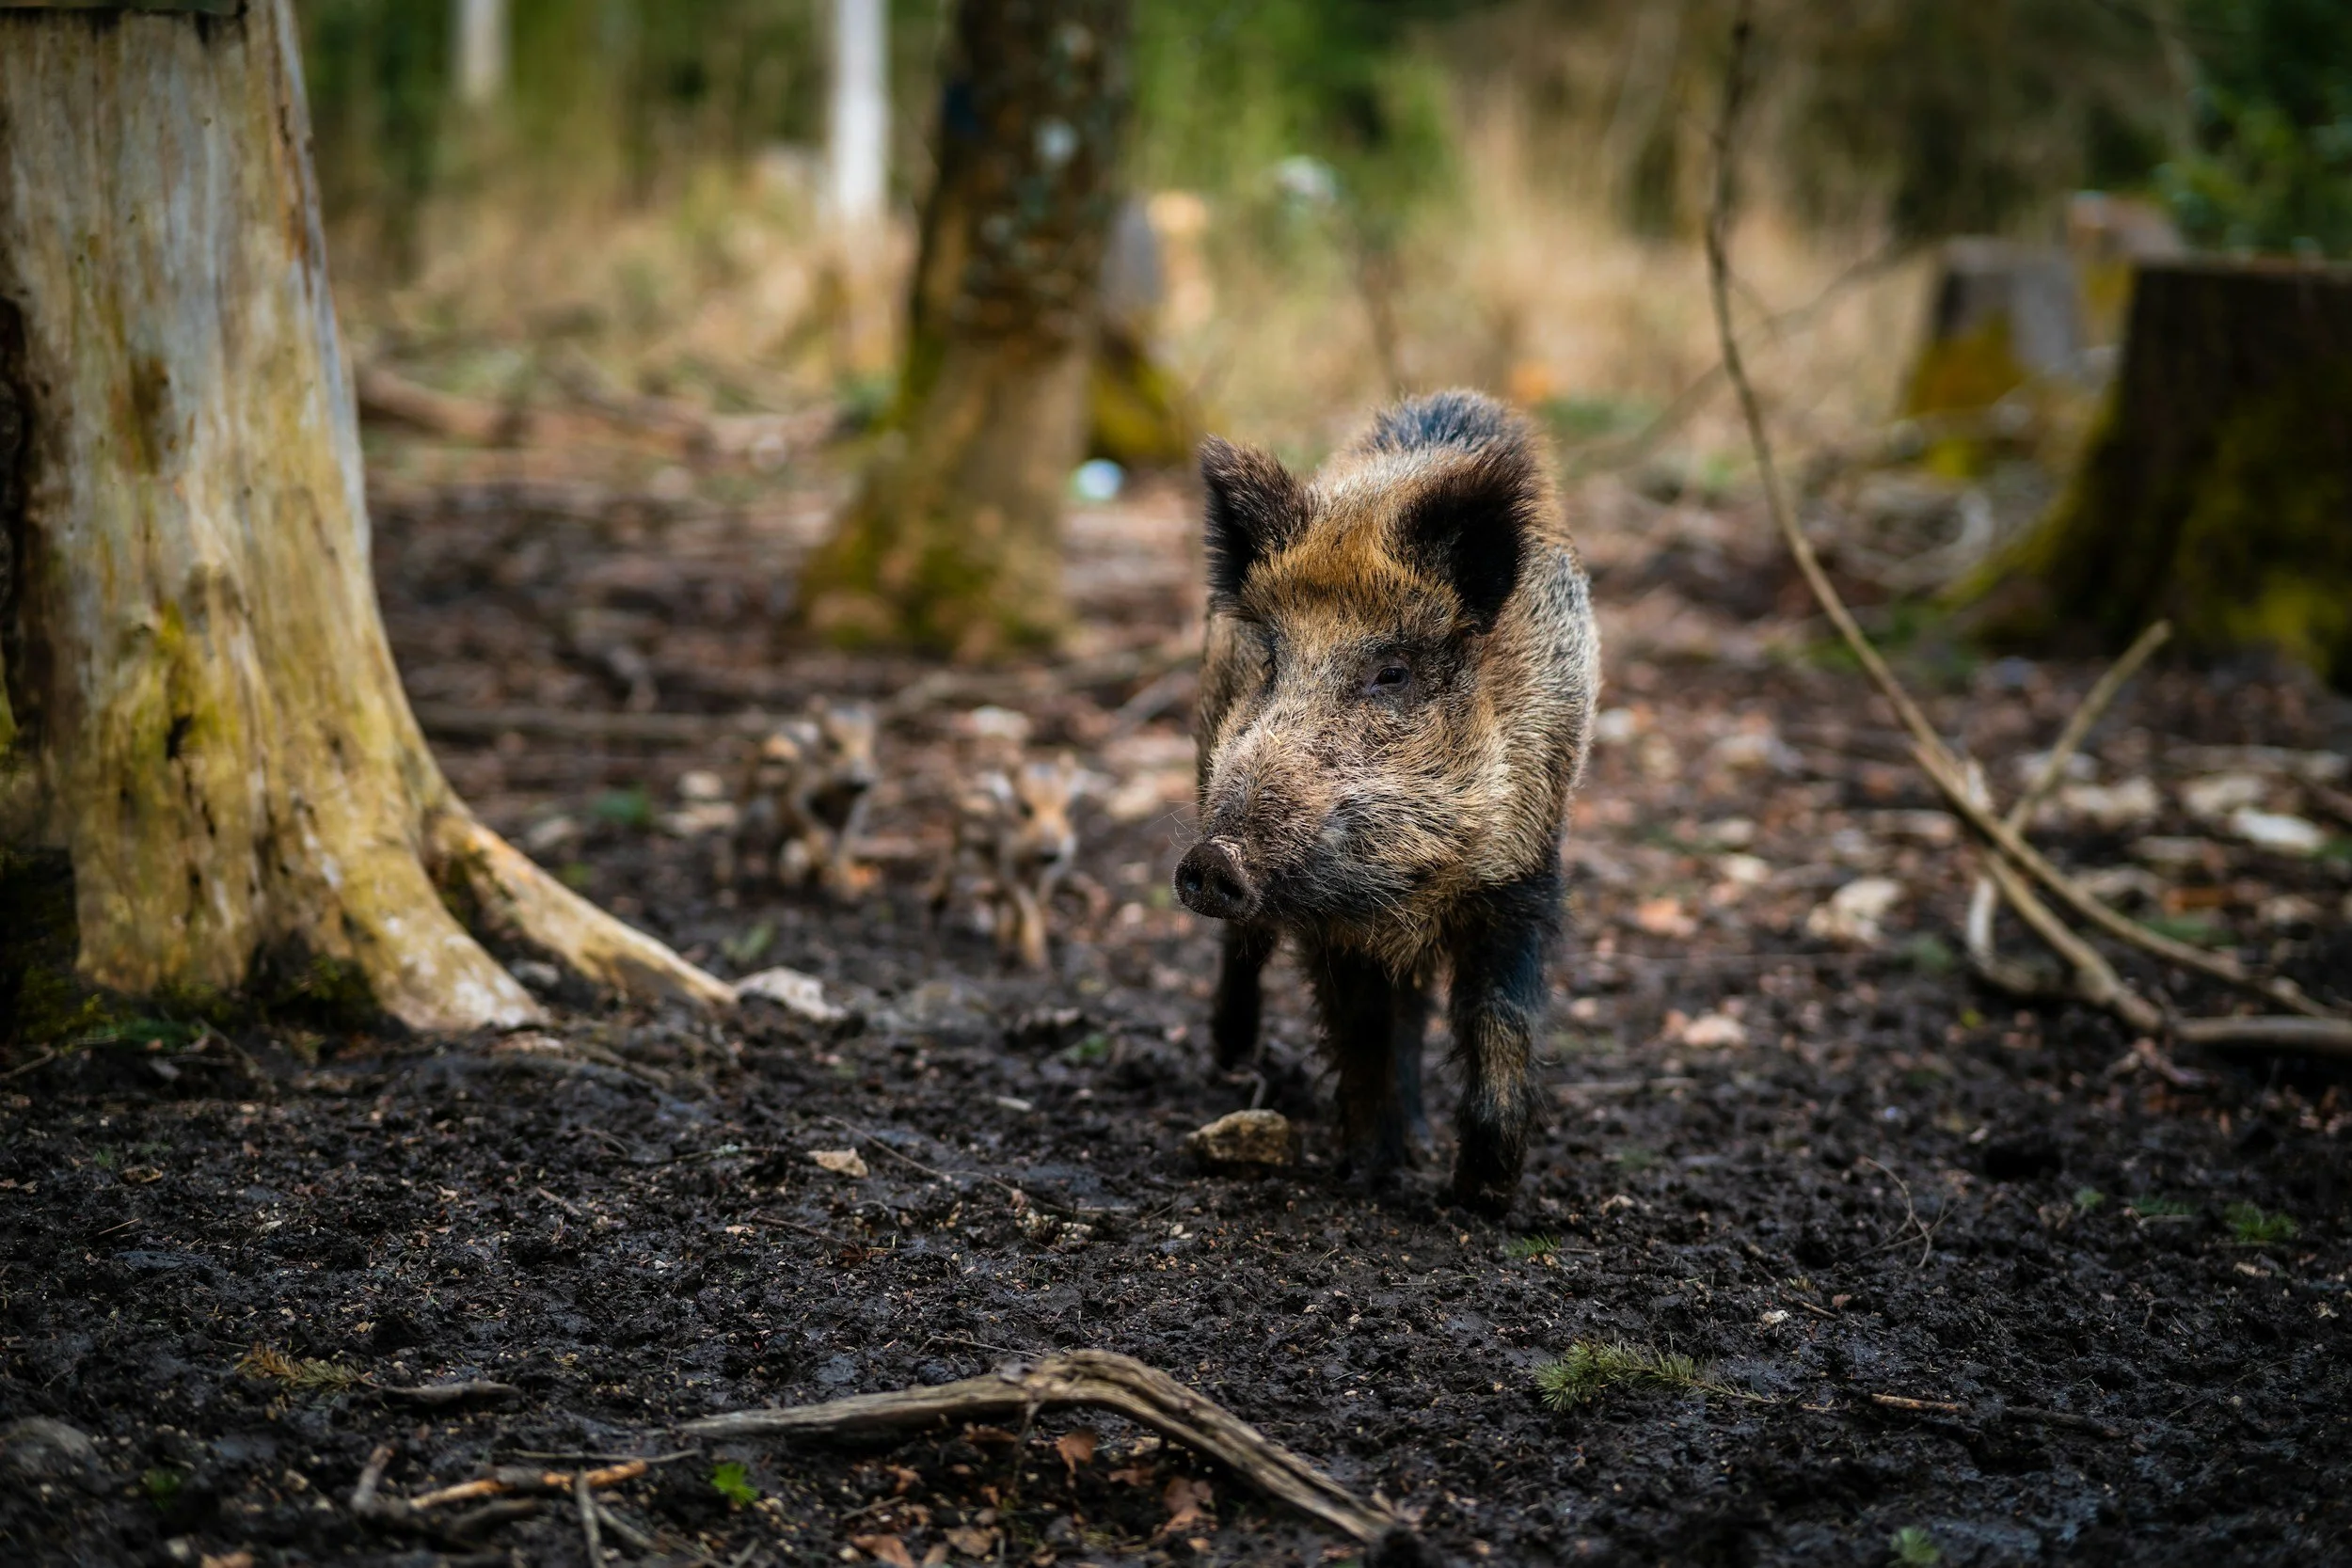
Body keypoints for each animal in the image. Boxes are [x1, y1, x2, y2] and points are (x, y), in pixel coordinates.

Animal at [1173, 389, 1600, 1214]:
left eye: (1393, 672)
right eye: (1271, 661)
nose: (1213, 858)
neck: (1403, 889)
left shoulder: (1524, 876)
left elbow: (1501, 1020)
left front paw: (1480, 1196)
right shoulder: (1328, 923)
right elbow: (1362, 1031)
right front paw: (1372, 1175)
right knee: (1245, 953)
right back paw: (1231, 1064)